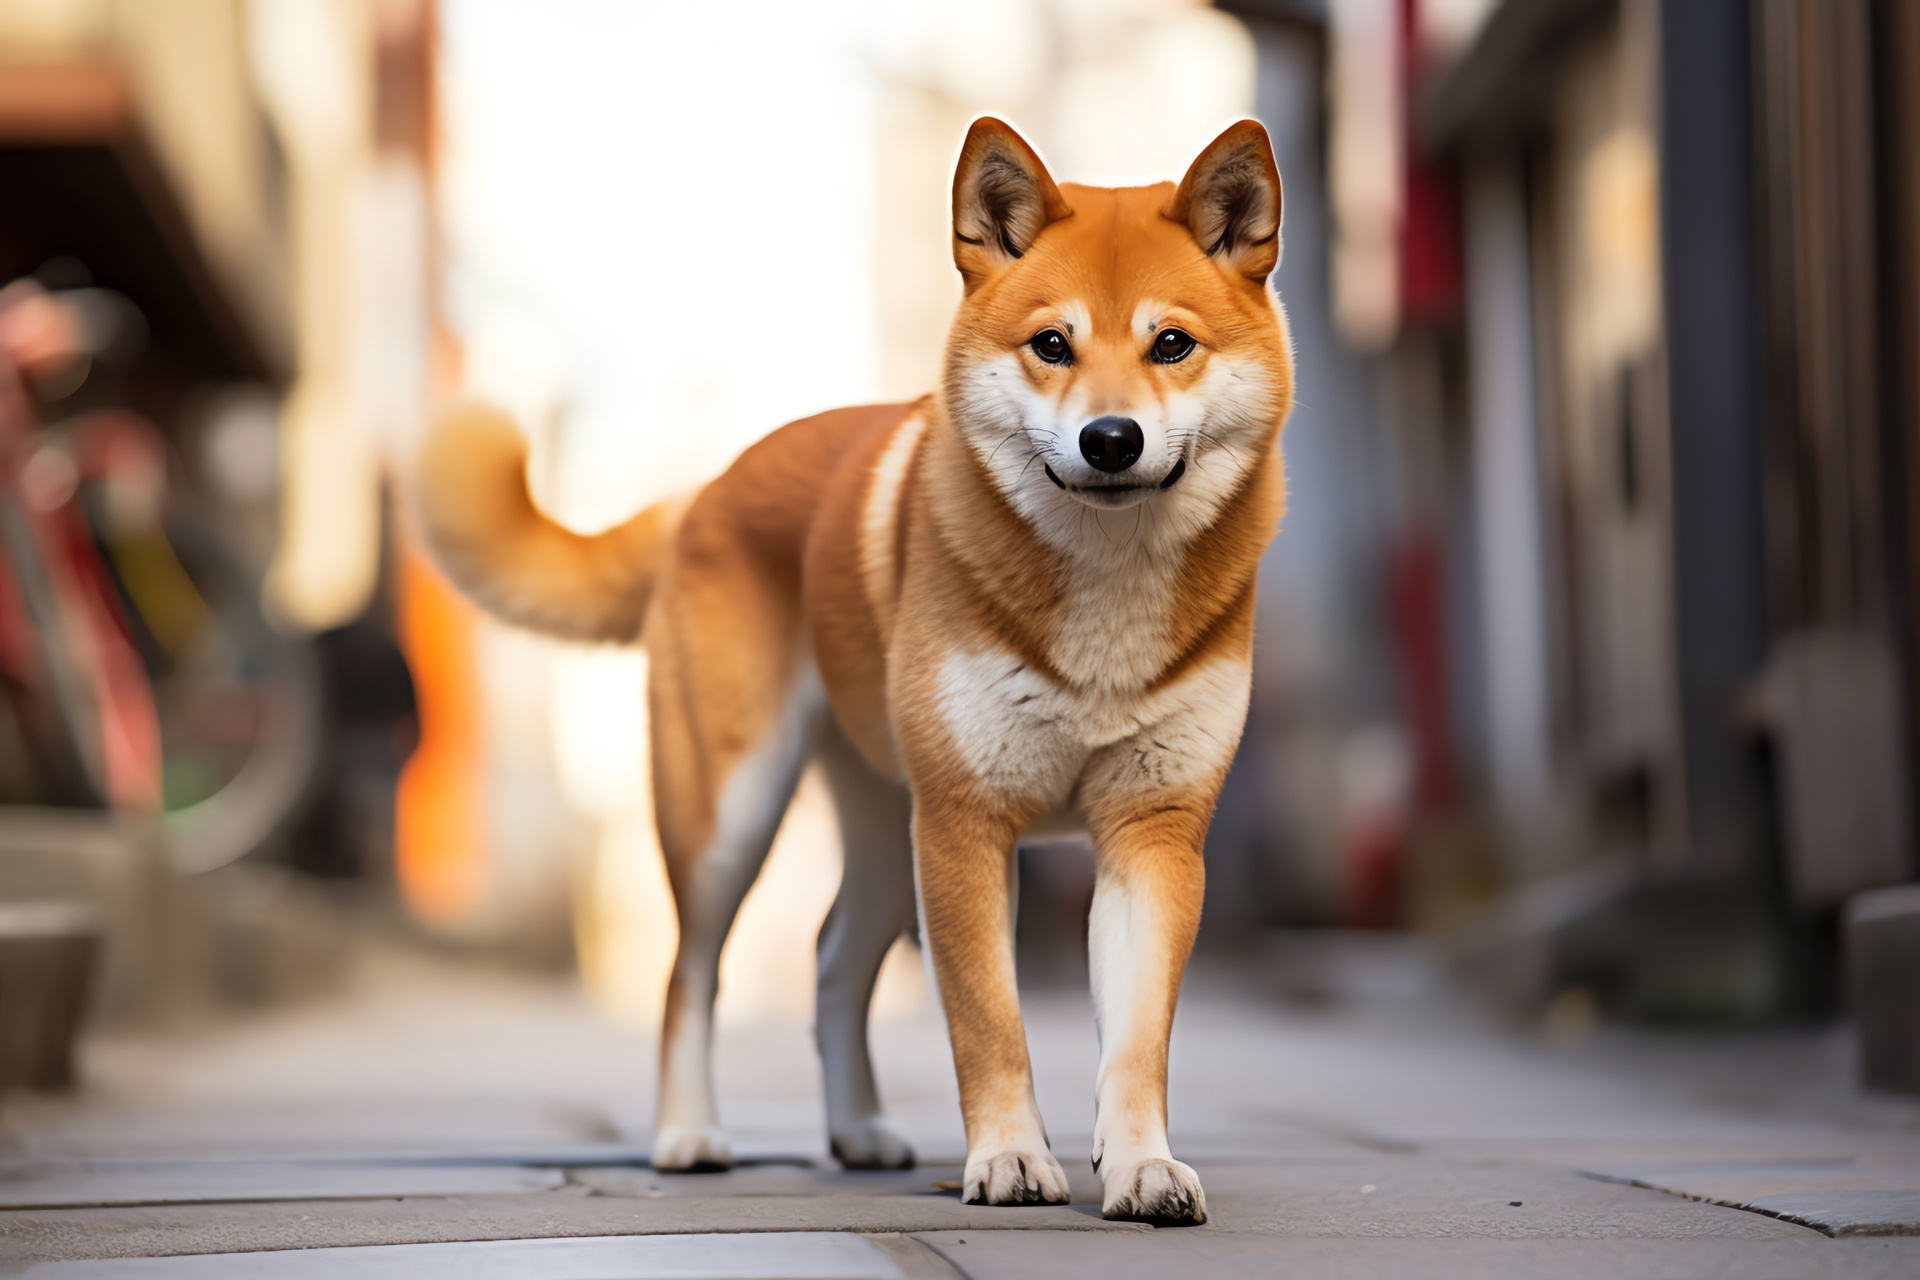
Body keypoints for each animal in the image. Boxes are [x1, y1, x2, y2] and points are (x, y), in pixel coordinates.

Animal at [418, 122, 1290, 1228]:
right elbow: (986, 1020)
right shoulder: (964, 823)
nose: (1110, 439)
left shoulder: (1152, 831)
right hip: (731, 815)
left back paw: (858, 1130)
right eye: (1051, 344)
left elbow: (1136, 1040)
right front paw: (1010, 1158)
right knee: (689, 975)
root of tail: (710, 487)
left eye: (1170, 344)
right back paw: (689, 1137)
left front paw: (1141, 1169)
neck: (1105, 577)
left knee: (833, 959)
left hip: (884, 828)